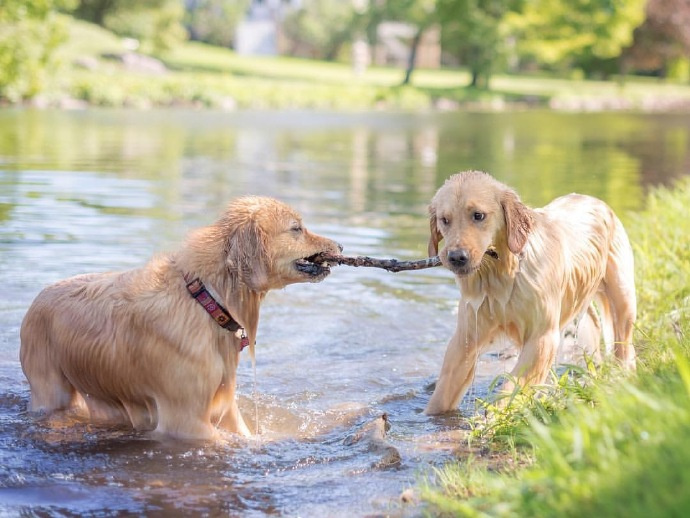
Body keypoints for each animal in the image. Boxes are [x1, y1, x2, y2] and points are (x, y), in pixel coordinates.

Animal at [20, 197, 342, 440]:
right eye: (296, 228)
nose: (340, 245)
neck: (207, 300)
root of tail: (38, 297)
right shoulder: (185, 419)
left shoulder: (224, 404)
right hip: (51, 388)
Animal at [424, 172, 636, 414]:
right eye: (445, 219)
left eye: (478, 215)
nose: (456, 257)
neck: (503, 277)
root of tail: (595, 200)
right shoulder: (465, 339)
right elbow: (441, 396)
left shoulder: (542, 337)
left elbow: (511, 386)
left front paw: (495, 415)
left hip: (623, 299)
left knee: (624, 346)